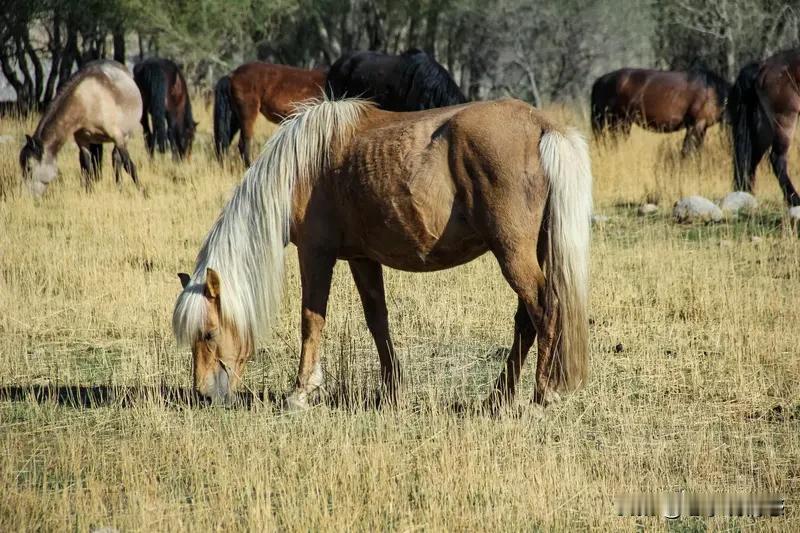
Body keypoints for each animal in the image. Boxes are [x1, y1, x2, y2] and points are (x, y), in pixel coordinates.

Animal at [19, 60, 142, 196]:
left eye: (29, 168)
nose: (27, 196)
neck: (87, 101)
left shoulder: (118, 137)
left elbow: (129, 165)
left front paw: (142, 191)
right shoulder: (82, 141)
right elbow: (88, 167)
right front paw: (89, 192)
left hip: (126, 136)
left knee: (117, 159)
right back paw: (119, 188)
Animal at [172, 98, 592, 414]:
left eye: (209, 333)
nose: (204, 394)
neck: (303, 166)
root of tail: (541, 126)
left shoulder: (316, 254)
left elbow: (311, 319)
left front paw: (301, 392)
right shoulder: (362, 259)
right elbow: (378, 321)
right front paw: (392, 391)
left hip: (513, 253)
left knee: (545, 310)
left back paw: (542, 394)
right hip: (530, 252)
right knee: (526, 321)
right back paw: (497, 397)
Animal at [590, 67, 730, 156]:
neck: (714, 91)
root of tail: (601, 80)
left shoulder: (701, 128)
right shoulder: (696, 125)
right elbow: (687, 152)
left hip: (621, 123)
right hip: (616, 122)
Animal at [728, 49, 800, 206]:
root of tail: (764, 66)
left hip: (765, 128)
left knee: (751, 159)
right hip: (785, 120)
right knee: (777, 159)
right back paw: (795, 199)